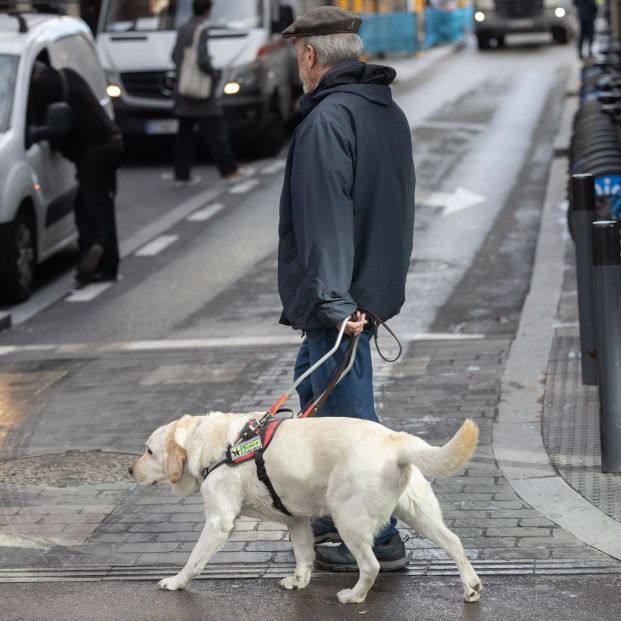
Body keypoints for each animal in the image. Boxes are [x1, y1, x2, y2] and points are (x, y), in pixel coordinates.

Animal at [128, 412, 482, 600]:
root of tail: (395, 440)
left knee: (371, 566)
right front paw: (299, 581)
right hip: (420, 512)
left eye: (149, 451)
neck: (215, 445)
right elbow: (302, 554)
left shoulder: (218, 521)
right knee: (454, 543)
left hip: (347, 517)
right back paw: (471, 586)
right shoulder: (295, 519)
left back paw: (354, 596)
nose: (129, 470)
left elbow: (194, 560)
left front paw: (176, 581)